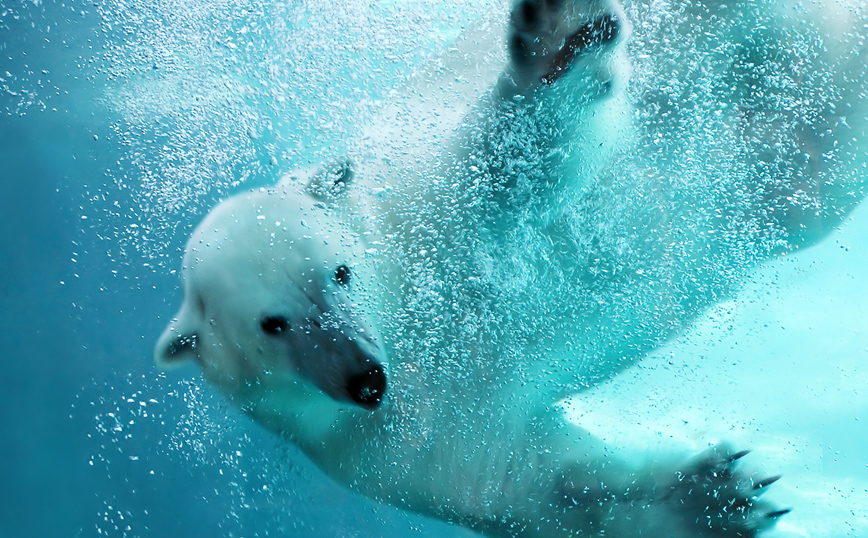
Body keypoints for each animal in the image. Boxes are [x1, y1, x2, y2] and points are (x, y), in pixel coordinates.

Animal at [158, 0, 868, 532]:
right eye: (271, 325)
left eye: (339, 273)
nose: (366, 379)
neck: (406, 316)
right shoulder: (385, 447)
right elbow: (532, 481)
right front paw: (717, 497)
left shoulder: (431, 207)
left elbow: (518, 157)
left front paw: (558, 38)